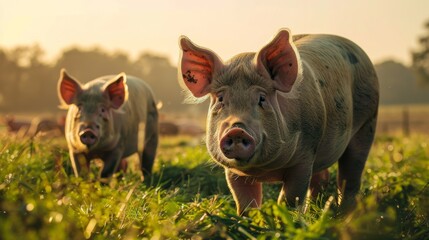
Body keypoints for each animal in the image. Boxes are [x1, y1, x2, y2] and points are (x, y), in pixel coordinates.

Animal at [177, 29, 378, 215]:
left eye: (262, 98)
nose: (237, 130)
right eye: (220, 99)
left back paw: (344, 213)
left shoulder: (305, 156)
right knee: (321, 178)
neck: (263, 171)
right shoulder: (232, 171)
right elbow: (245, 201)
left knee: (350, 175)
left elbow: (290, 198)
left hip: (367, 122)